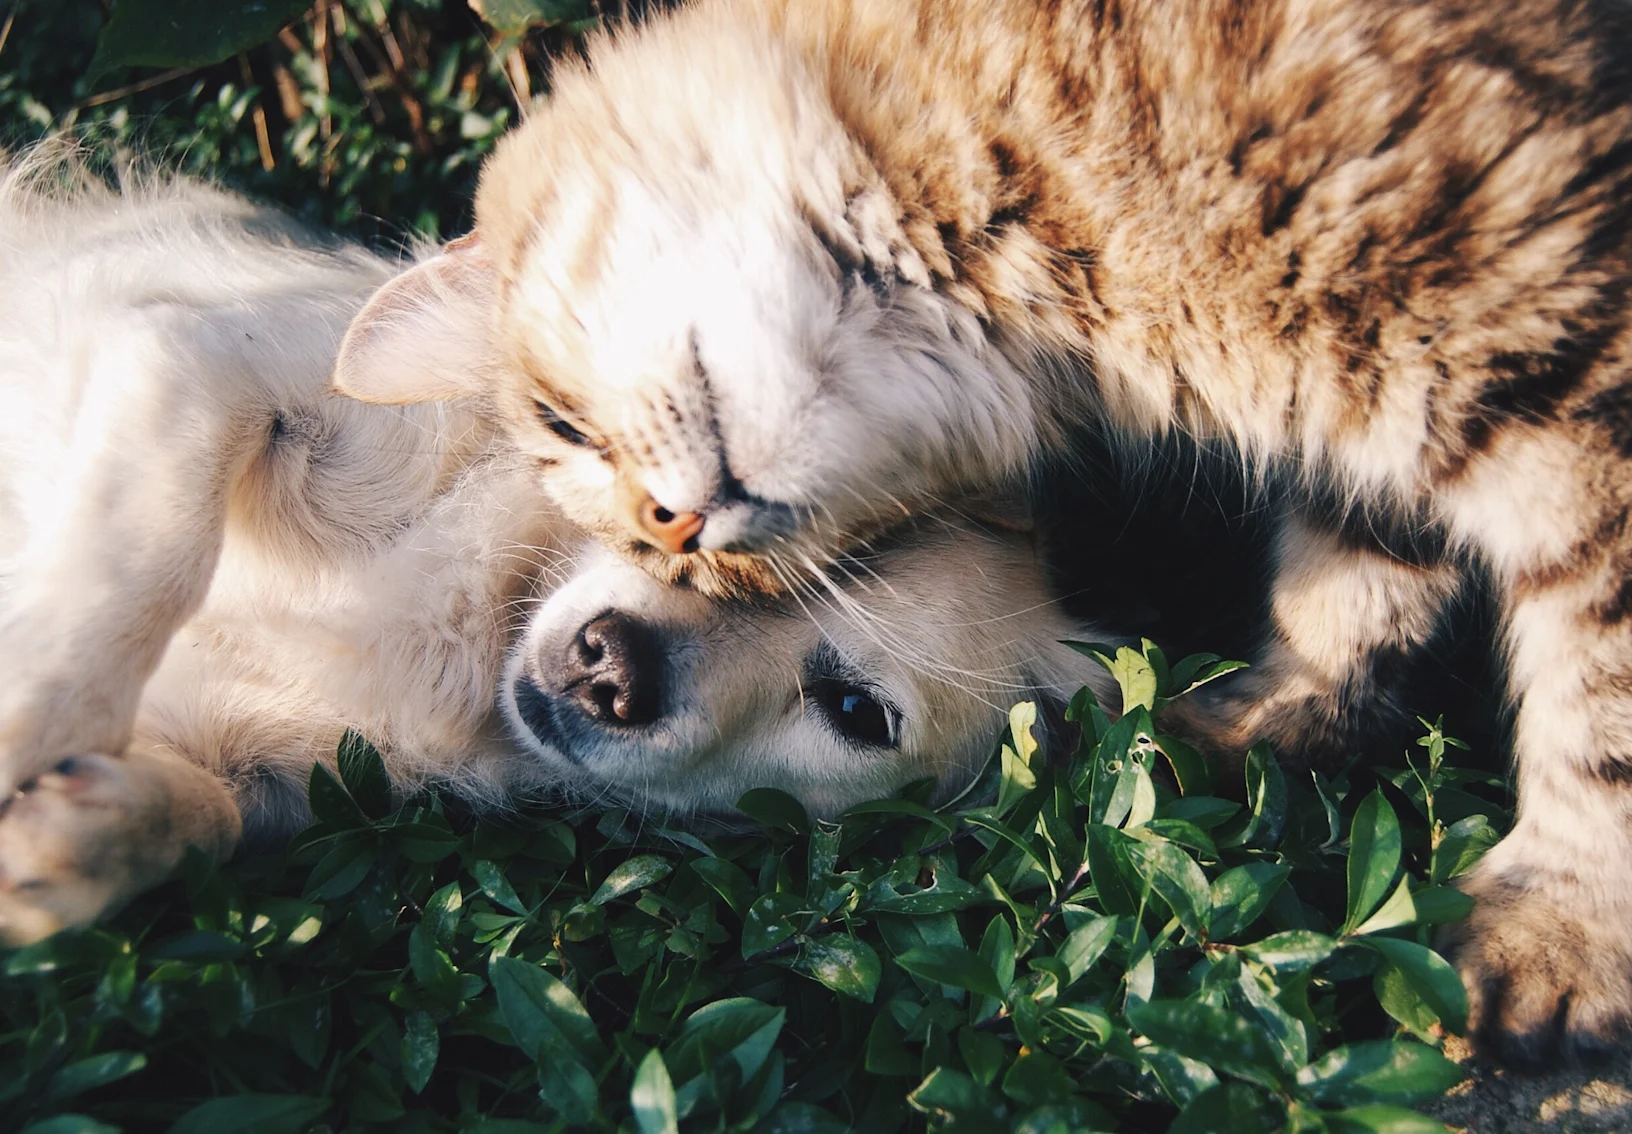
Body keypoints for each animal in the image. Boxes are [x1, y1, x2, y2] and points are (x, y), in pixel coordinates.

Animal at [328, 0, 1632, 1063]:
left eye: (559, 424)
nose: (676, 529)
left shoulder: (1567, 370)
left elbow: (1600, 702)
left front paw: (1562, 932)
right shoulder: (1376, 429)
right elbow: (1354, 582)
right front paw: (1271, 720)